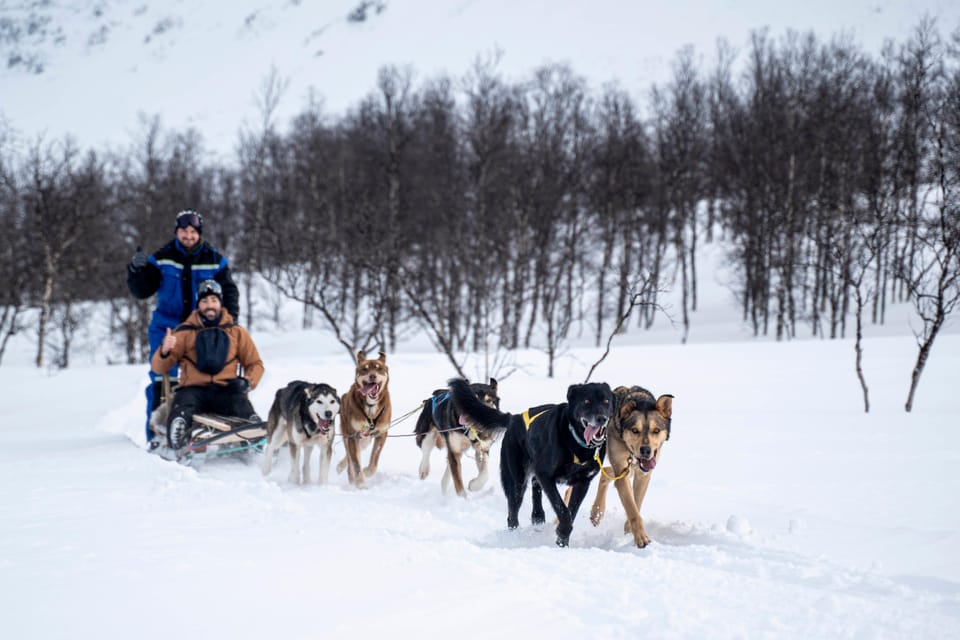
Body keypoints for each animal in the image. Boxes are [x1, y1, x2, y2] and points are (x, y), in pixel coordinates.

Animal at [338, 352, 390, 488]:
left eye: (379, 368)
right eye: (365, 369)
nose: (372, 376)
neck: (370, 407)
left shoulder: (382, 434)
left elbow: (375, 459)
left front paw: (367, 471)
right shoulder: (353, 435)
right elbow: (356, 463)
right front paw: (361, 483)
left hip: (365, 439)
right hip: (350, 436)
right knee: (350, 458)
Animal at [450, 378, 616, 548]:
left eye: (606, 401)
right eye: (586, 402)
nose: (602, 418)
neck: (576, 440)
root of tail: (514, 418)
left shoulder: (583, 482)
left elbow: (572, 511)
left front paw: (563, 540)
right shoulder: (546, 475)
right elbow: (563, 510)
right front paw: (563, 532)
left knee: (535, 486)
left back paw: (538, 516)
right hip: (516, 480)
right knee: (513, 510)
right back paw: (515, 534)